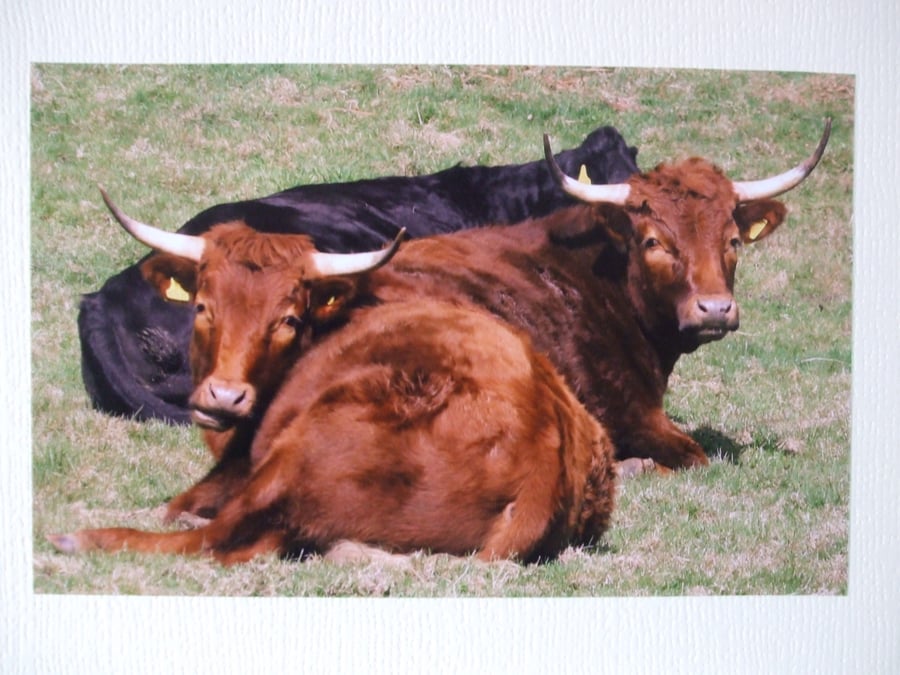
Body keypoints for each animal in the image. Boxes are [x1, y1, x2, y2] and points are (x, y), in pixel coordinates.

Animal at [49, 218, 618, 565]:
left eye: (288, 319)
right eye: (203, 307)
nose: (224, 398)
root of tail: (546, 451)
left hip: (300, 453)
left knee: (214, 540)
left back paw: (83, 537)